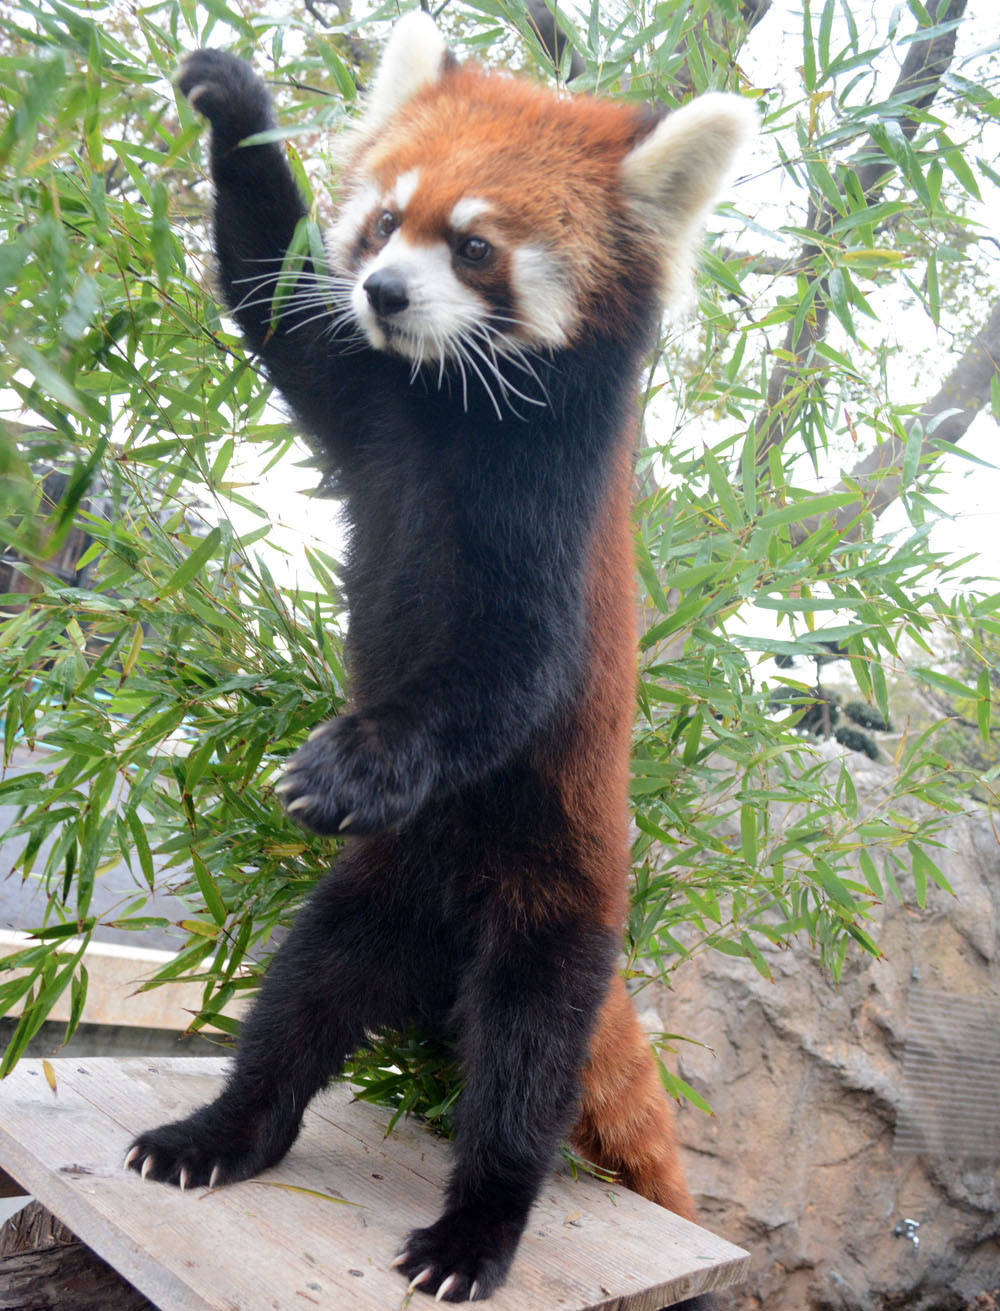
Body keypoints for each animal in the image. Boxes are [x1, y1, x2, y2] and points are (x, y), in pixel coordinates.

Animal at [127, 15, 749, 1305]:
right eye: (382, 222)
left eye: (474, 247)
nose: (383, 290)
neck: (453, 414)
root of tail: (446, 943)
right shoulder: (366, 399)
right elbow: (268, 287)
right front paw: (232, 103)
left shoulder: (549, 533)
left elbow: (503, 675)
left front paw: (352, 764)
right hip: (368, 895)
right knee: (297, 1003)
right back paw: (220, 1134)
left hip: (553, 921)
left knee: (520, 1078)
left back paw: (476, 1233)